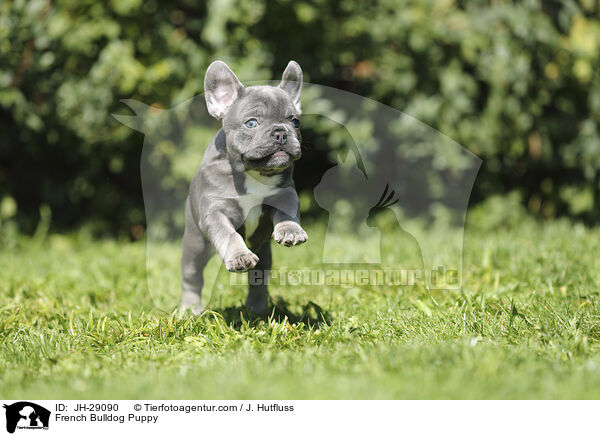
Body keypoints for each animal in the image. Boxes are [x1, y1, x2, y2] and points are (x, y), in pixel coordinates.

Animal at [180, 59, 308, 316]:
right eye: (251, 123)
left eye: (295, 121)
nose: (281, 133)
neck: (253, 173)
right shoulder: (215, 213)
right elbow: (229, 234)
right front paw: (239, 256)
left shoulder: (285, 194)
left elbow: (288, 212)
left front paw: (291, 230)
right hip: (195, 244)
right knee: (192, 277)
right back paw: (189, 310)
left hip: (264, 254)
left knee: (259, 279)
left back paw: (256, 309)